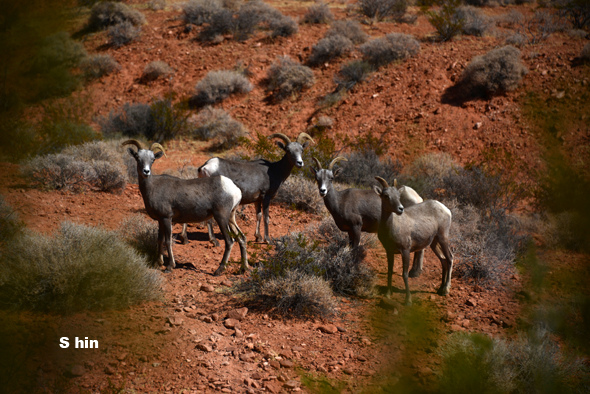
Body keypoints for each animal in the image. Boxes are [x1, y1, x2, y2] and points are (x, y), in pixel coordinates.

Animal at [123, 140, 249, 276]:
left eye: (152, 159)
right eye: (138, 158)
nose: (146, 172)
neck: (152, 188)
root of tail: (234, 189)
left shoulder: (167, 219)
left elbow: (168, 241)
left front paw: (169, 266)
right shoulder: (160, 220)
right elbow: (159, 240)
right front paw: (159, 263)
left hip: (221, 218)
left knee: (230, 241)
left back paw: (218, 270)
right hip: (231, 218)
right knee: (241, 238)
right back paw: (243, 269)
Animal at [180, 131, 316, 245]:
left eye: (301, 150)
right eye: (288, 150)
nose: (299, 163)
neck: (274, 171)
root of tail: (205, 167)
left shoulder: (257, 200)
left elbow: (259, 216)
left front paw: (258, 237)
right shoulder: (266, 197)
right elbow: (266, 217)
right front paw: (267, 240)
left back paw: (185, 238)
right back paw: (214, 241)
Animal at [372, 177, 456, 306]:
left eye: (398, 195)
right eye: (386, 195)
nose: (400, 209)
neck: (392, 226)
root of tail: (446, 210)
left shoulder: (405, 251)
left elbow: (405, 274)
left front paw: (408, 300)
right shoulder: (389, 252)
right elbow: (390, 271)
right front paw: (388, 294)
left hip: (443, 239)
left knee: (450, 258)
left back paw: (446, 290)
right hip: (434, 243)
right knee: (443, 260)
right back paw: (440, 289)